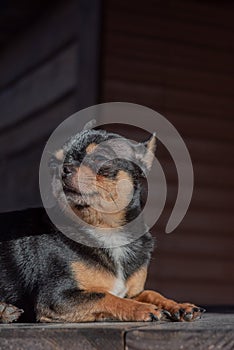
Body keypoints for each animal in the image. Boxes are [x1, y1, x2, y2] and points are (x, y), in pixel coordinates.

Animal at [0, 125, 205, 322]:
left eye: (99, 158)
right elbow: (106, 296)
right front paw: (142, 309)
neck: (106, 229)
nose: (61, 169)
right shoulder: (56, 297)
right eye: (52, 164)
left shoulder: (133, 292)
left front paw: (178, 305)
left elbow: (151, 292)